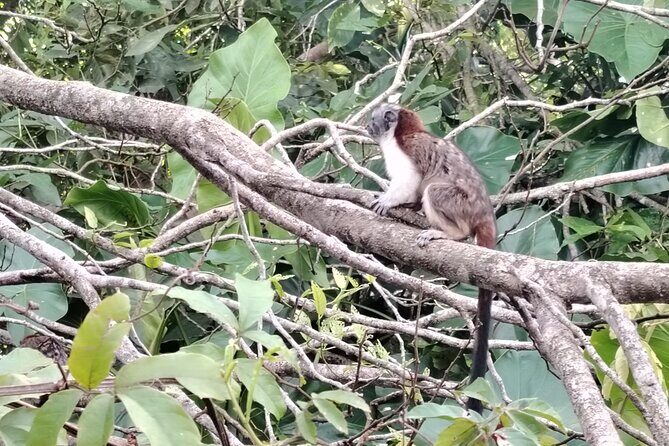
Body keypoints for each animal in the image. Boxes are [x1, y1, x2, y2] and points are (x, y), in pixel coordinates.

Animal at [366, 103, 496, 413]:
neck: (401, 133)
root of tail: (485, 213)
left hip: (462, 207)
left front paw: (388, 201)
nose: (367, 125)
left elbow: (411, 183)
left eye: (374, 118)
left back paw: (449, 233)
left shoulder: (407, 151)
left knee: (433, 190)